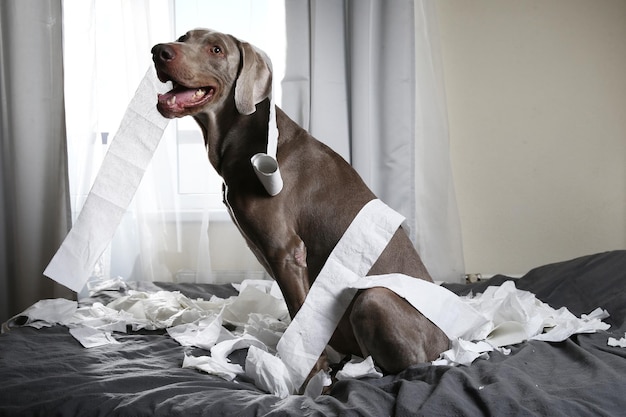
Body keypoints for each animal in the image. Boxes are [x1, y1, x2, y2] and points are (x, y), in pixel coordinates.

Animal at [151, 29, 446, 390]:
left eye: (216, 49)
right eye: (183, 37)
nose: (159, 51)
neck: (250, 137)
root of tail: (450, 344)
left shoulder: (287, 251)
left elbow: (302, 318)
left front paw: (308, 380)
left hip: (372, 299)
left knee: (403, 365)